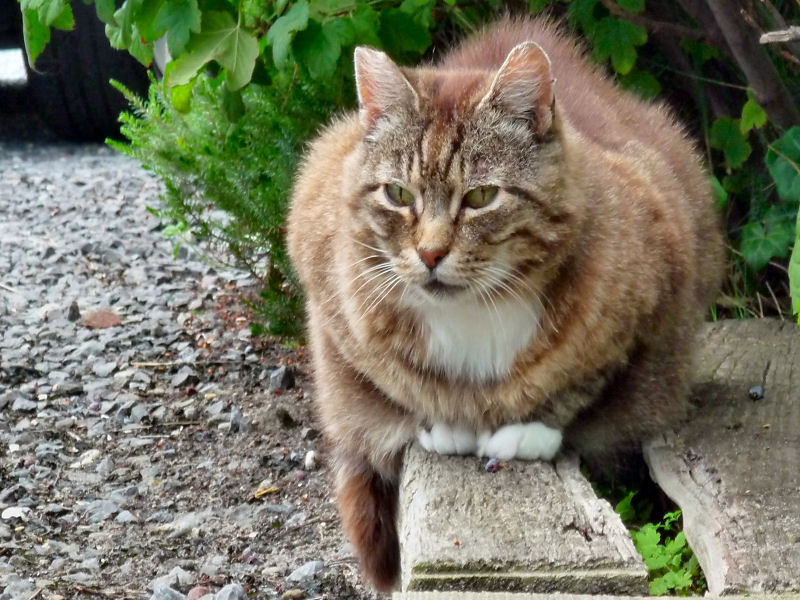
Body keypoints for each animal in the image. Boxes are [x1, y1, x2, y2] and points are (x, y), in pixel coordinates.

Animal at [284, 16, 720, 592]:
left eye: (480, 197)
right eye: (397, 195)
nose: (429, 253)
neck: (476, 307)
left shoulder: (657, 281)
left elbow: (579, 383)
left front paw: (525, 431)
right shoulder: (330, 287)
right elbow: (396, 379)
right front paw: (444, 419)